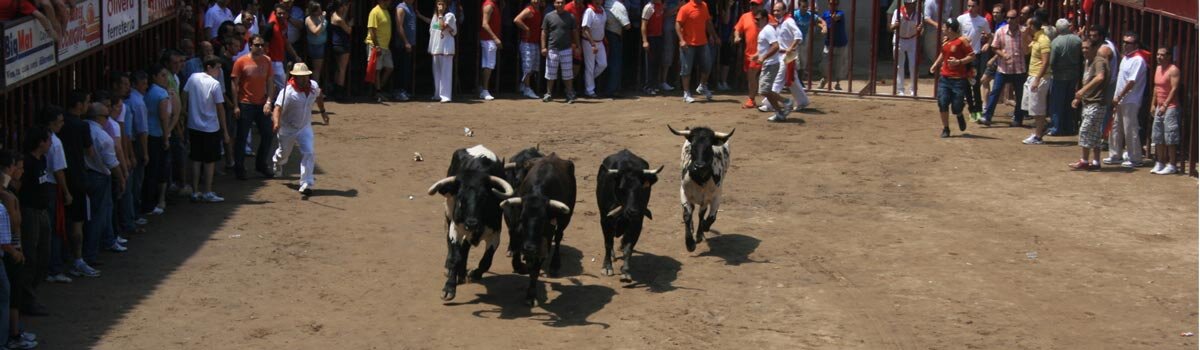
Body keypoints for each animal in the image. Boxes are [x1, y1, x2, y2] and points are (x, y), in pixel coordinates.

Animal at [424, 145, 513, 300]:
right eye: (460, 197)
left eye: (484, 197)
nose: (471, 223)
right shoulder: (456, 229)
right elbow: (455, 257)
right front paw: (449, 288)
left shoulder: (495, 233)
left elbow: (486, 260)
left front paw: (474, 274)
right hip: (449, 212)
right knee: (450, 242)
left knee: (465, 248)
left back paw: (462, 273)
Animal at [494, 154, 573, 304]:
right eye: (522, 218)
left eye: (543, 221)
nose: (529, 248)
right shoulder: (517, 229)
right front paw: (519, 264)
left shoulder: (545, 239)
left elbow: (535, 269)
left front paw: (531, 295)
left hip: (565, 220)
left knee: (558, 237)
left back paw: (555, 264)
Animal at [592, 149, 662, 281]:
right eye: (622, 188)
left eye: (641, 189)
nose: (632, 211)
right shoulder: (605, 219)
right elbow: (608, 243)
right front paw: (607, 267)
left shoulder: (637, 222)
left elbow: (629, 248)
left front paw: (625, 271)